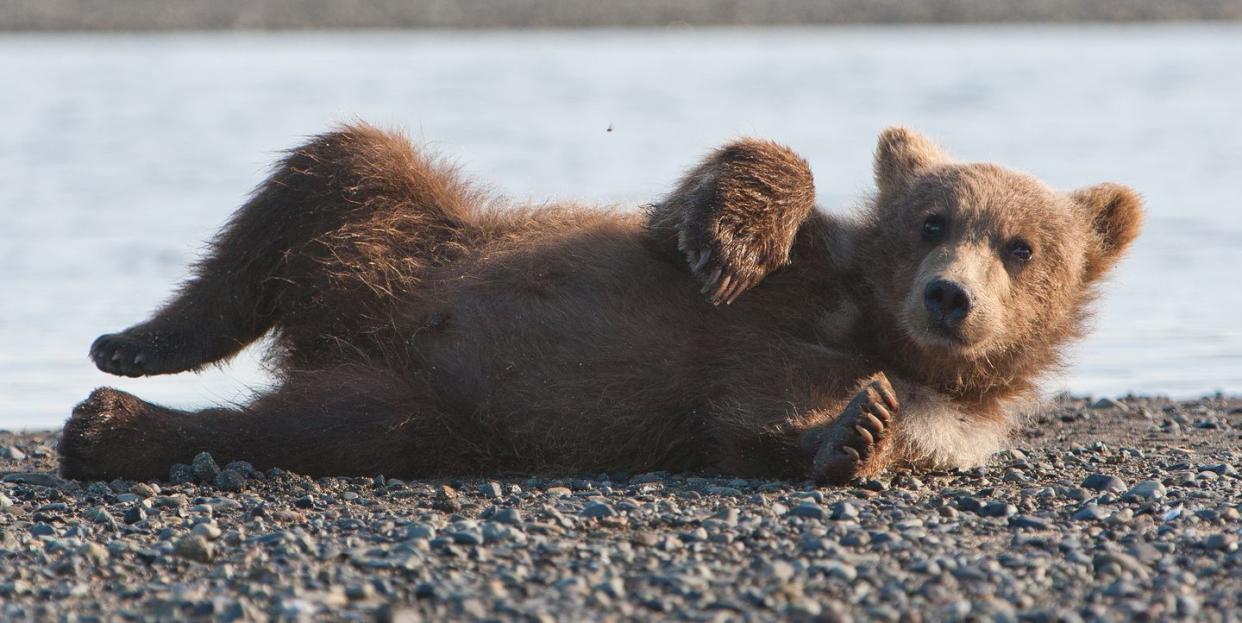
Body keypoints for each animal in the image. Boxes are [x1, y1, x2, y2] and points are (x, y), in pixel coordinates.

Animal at [60, 124, 1142, 484]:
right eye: (930, 219)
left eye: (1022, 246)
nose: (950, 295)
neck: (868, 321)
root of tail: (341, 327)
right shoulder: (805, 271)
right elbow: (720, 204)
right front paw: (729, 238)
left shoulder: (950, 410)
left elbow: (769, 422)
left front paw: (856, 432)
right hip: (421, 226)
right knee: (328, 172)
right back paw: (135, 342)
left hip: (421, 404)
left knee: (321, 423)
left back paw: (113, 426)